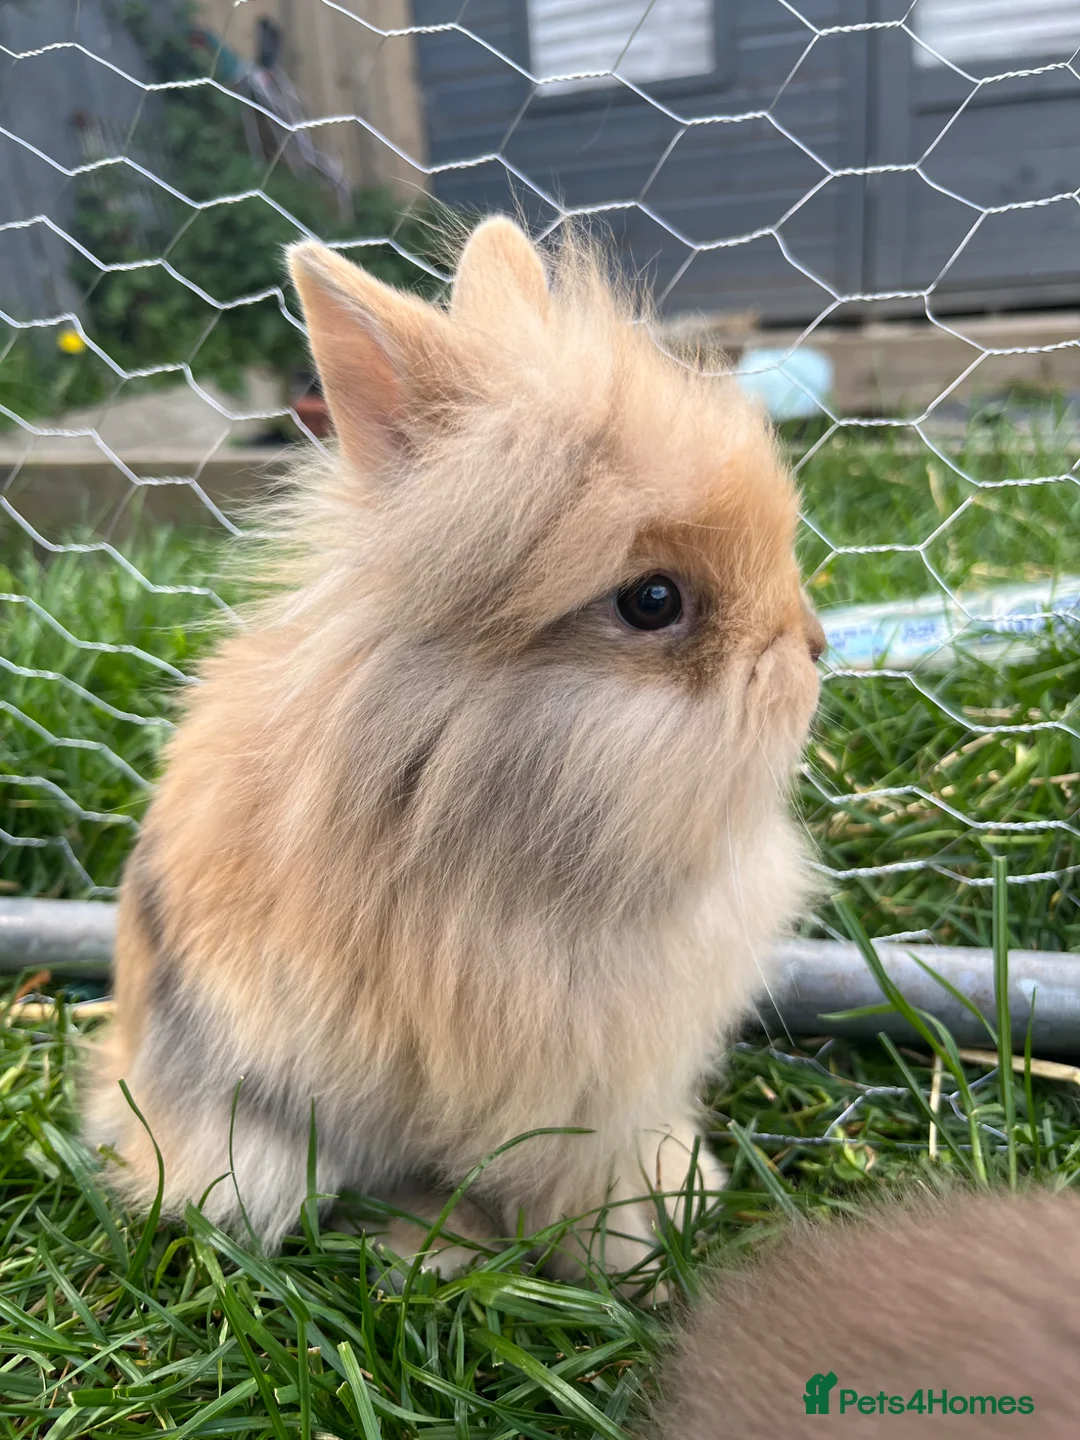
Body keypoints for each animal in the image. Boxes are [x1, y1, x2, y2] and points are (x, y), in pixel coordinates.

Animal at [80, 216, 825, 1282]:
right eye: (652, 601)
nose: (815, 649)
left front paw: (685, 1190)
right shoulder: (565, 1084)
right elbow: (571, 1178)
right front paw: (629, 1252)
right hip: (257, 1140)